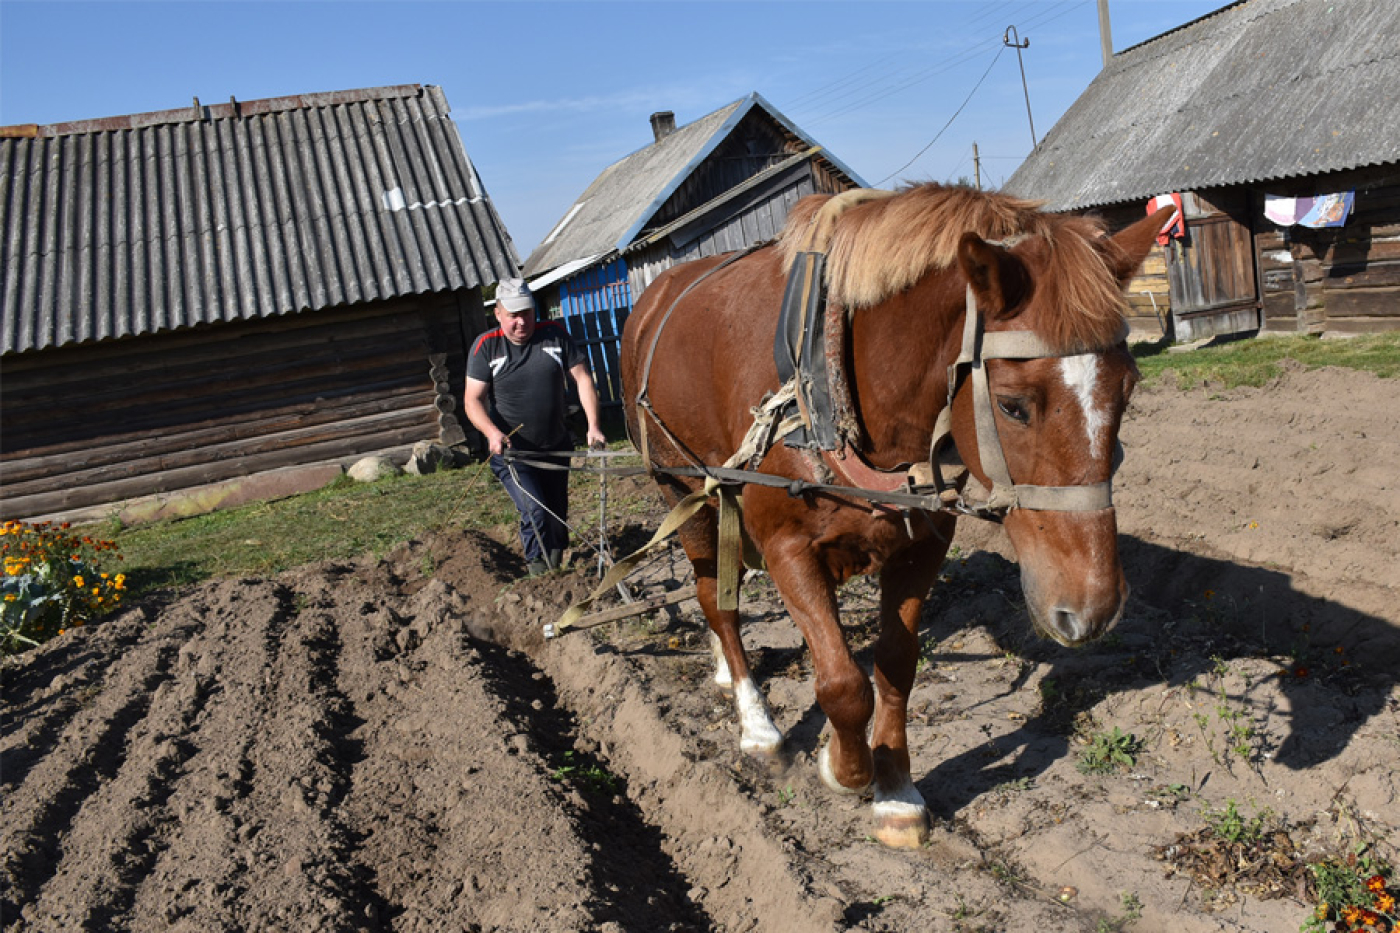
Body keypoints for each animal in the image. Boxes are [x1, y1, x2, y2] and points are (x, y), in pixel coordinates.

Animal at [624, 182, 1170, 840]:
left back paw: (725, 672)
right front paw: (845, 768)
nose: (1091, 612)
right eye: (1013, 406)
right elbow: (841, 683)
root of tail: (651, 297)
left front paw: (896, 791)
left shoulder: (923, 542)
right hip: (683, 489)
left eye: (1128, 388)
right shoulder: (786, 547)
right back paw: (756, 724)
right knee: (716, 600)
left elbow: (895, 664)